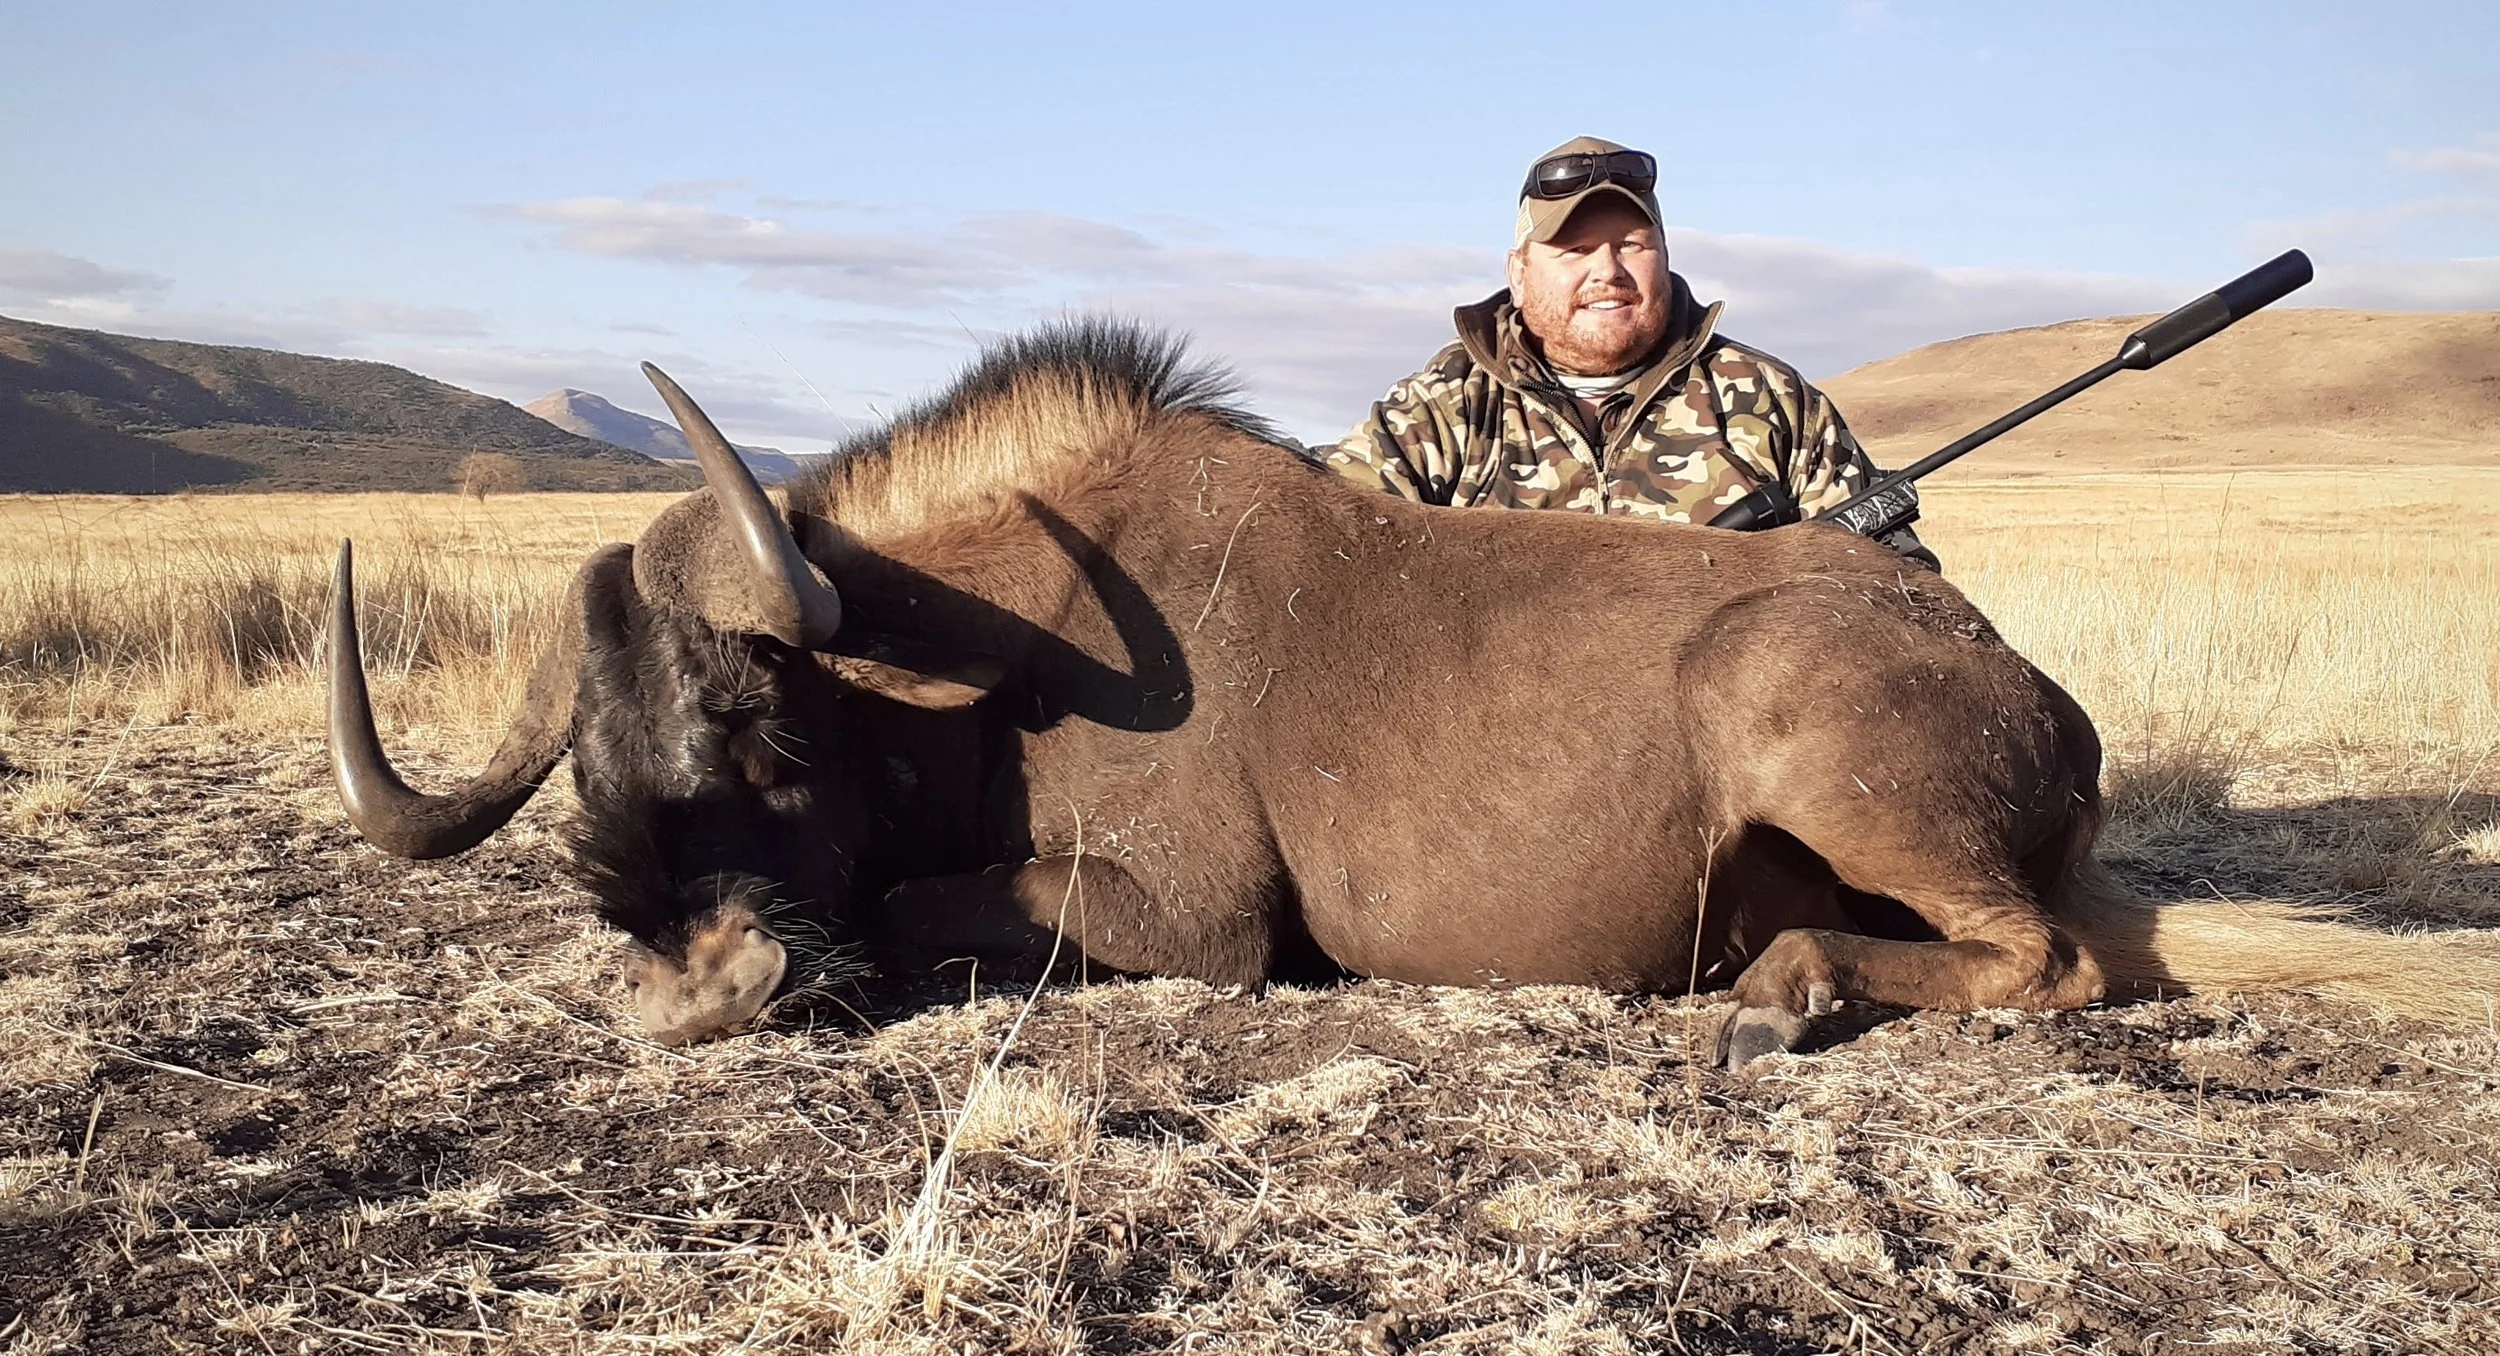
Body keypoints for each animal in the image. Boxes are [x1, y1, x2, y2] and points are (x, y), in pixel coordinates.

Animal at [329, 319, 2500, 1060]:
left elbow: (945, 912)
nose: (708, 991)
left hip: (1815, 744)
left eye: (760, 727)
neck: (987, 660)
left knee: (2043, 961)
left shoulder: (1196, 925)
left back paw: (1791, 985)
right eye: (596, 786)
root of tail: (2036, 704)